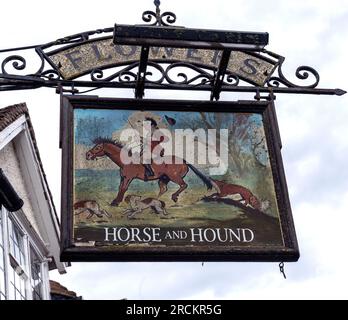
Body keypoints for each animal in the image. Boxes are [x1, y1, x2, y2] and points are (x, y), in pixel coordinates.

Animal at [85, 137, 219, 206]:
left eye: (98, 147)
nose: (88, 155)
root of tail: (184, 161)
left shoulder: (128, 178)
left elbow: (123, 188)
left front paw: (116, 202)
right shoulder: (123, 177)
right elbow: (120, 188)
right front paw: (115, 201)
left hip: (174, 177)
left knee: (183, 185)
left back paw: (173, 197)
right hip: (164, 179)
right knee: (163, 189)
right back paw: (154, 200)